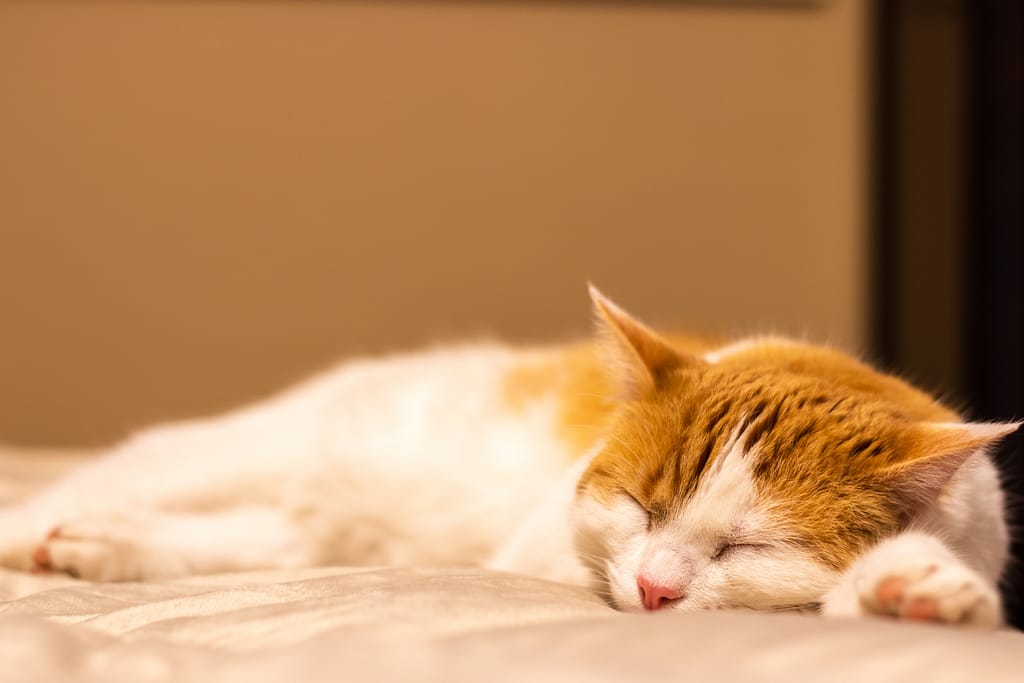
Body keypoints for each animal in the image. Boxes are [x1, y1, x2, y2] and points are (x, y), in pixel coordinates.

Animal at [0, 286, 1015, 626]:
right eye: (641, 507)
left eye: (749, 547)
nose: (655, 591)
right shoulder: (547, 548)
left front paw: (914, 589)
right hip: (245, 449)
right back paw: (46, 537)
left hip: (330, 521)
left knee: (276, 538)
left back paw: (91, 544)